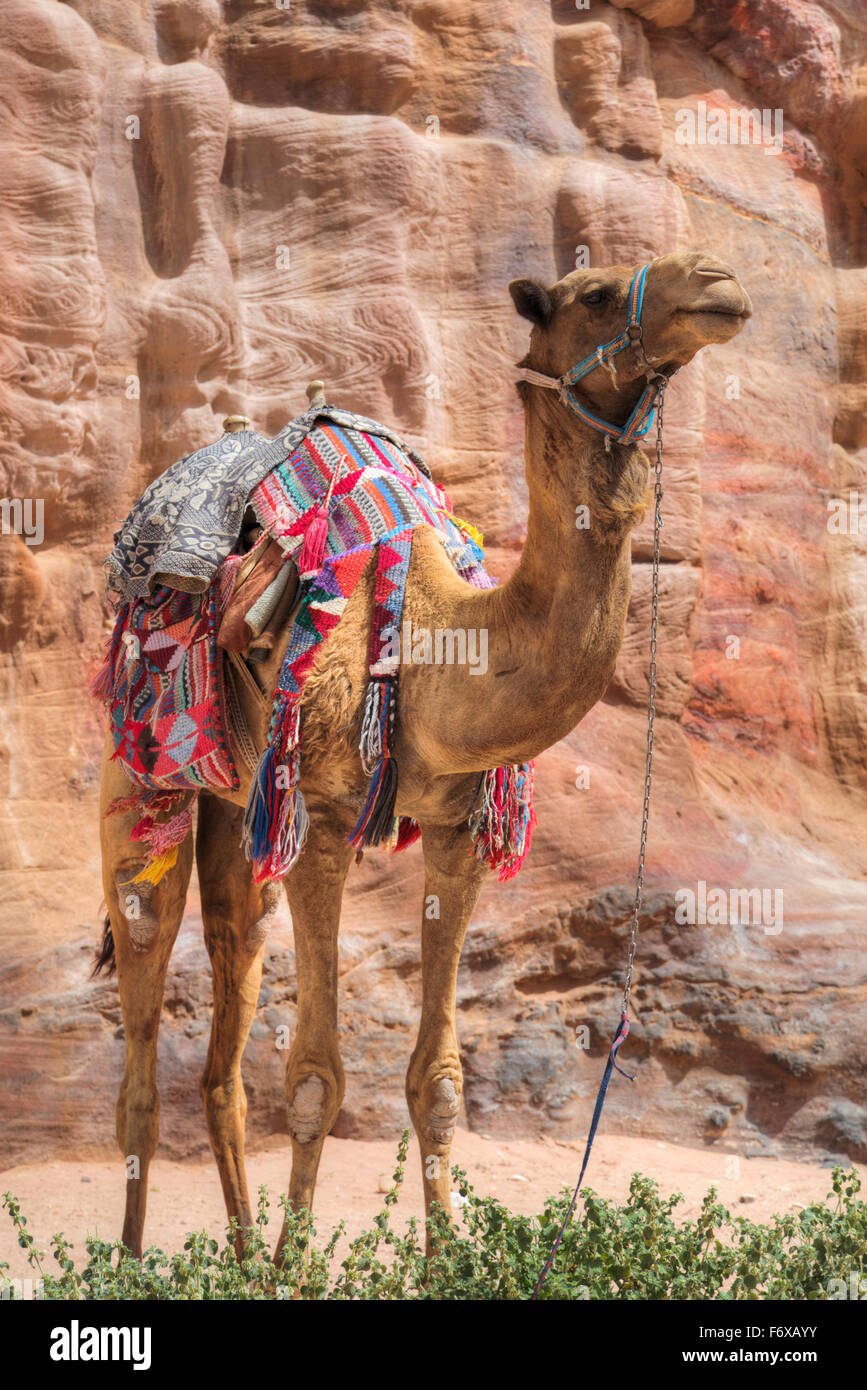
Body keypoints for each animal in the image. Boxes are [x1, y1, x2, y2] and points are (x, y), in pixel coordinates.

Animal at [97, 249, 751, 1259]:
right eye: (594, 293)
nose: (717, 281)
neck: (435, 639)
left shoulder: (456, 831)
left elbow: (438, 1078)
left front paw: (448, 1256)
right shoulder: (323, 823)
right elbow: (316, 1074)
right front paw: (296, 1267)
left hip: (240, 816)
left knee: (225, 1018)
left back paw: (236, 1258)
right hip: (140, 768)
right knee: (138, 1019)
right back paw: (138, 1261)